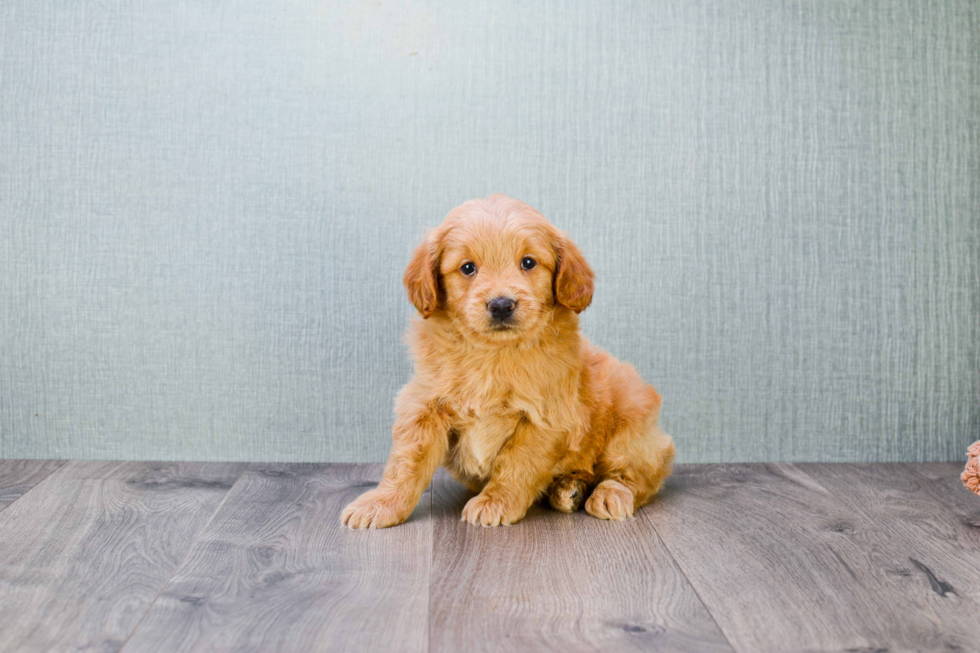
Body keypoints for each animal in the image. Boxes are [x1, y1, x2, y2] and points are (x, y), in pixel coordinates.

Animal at [342, 192, 672, 524]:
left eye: (528, 262)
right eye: (467, 268)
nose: (501, 305)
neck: (493, 353)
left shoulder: (546, 418)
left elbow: (517, 463)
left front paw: (495, 503)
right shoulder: (423, 406)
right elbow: (406, 463)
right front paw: (381, 504)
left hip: (631, 426)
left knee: (635, 476)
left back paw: (608, 494)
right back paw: (569, 488)